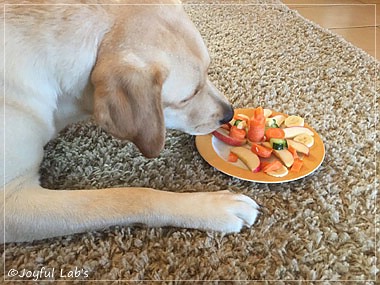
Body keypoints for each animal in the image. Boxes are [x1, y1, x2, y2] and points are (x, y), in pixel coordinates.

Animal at [0, 0, 260, 242]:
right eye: (187, 97)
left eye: (208, 70)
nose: (229, 113)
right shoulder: (10, 201)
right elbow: (131, 196)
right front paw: (213, 206)